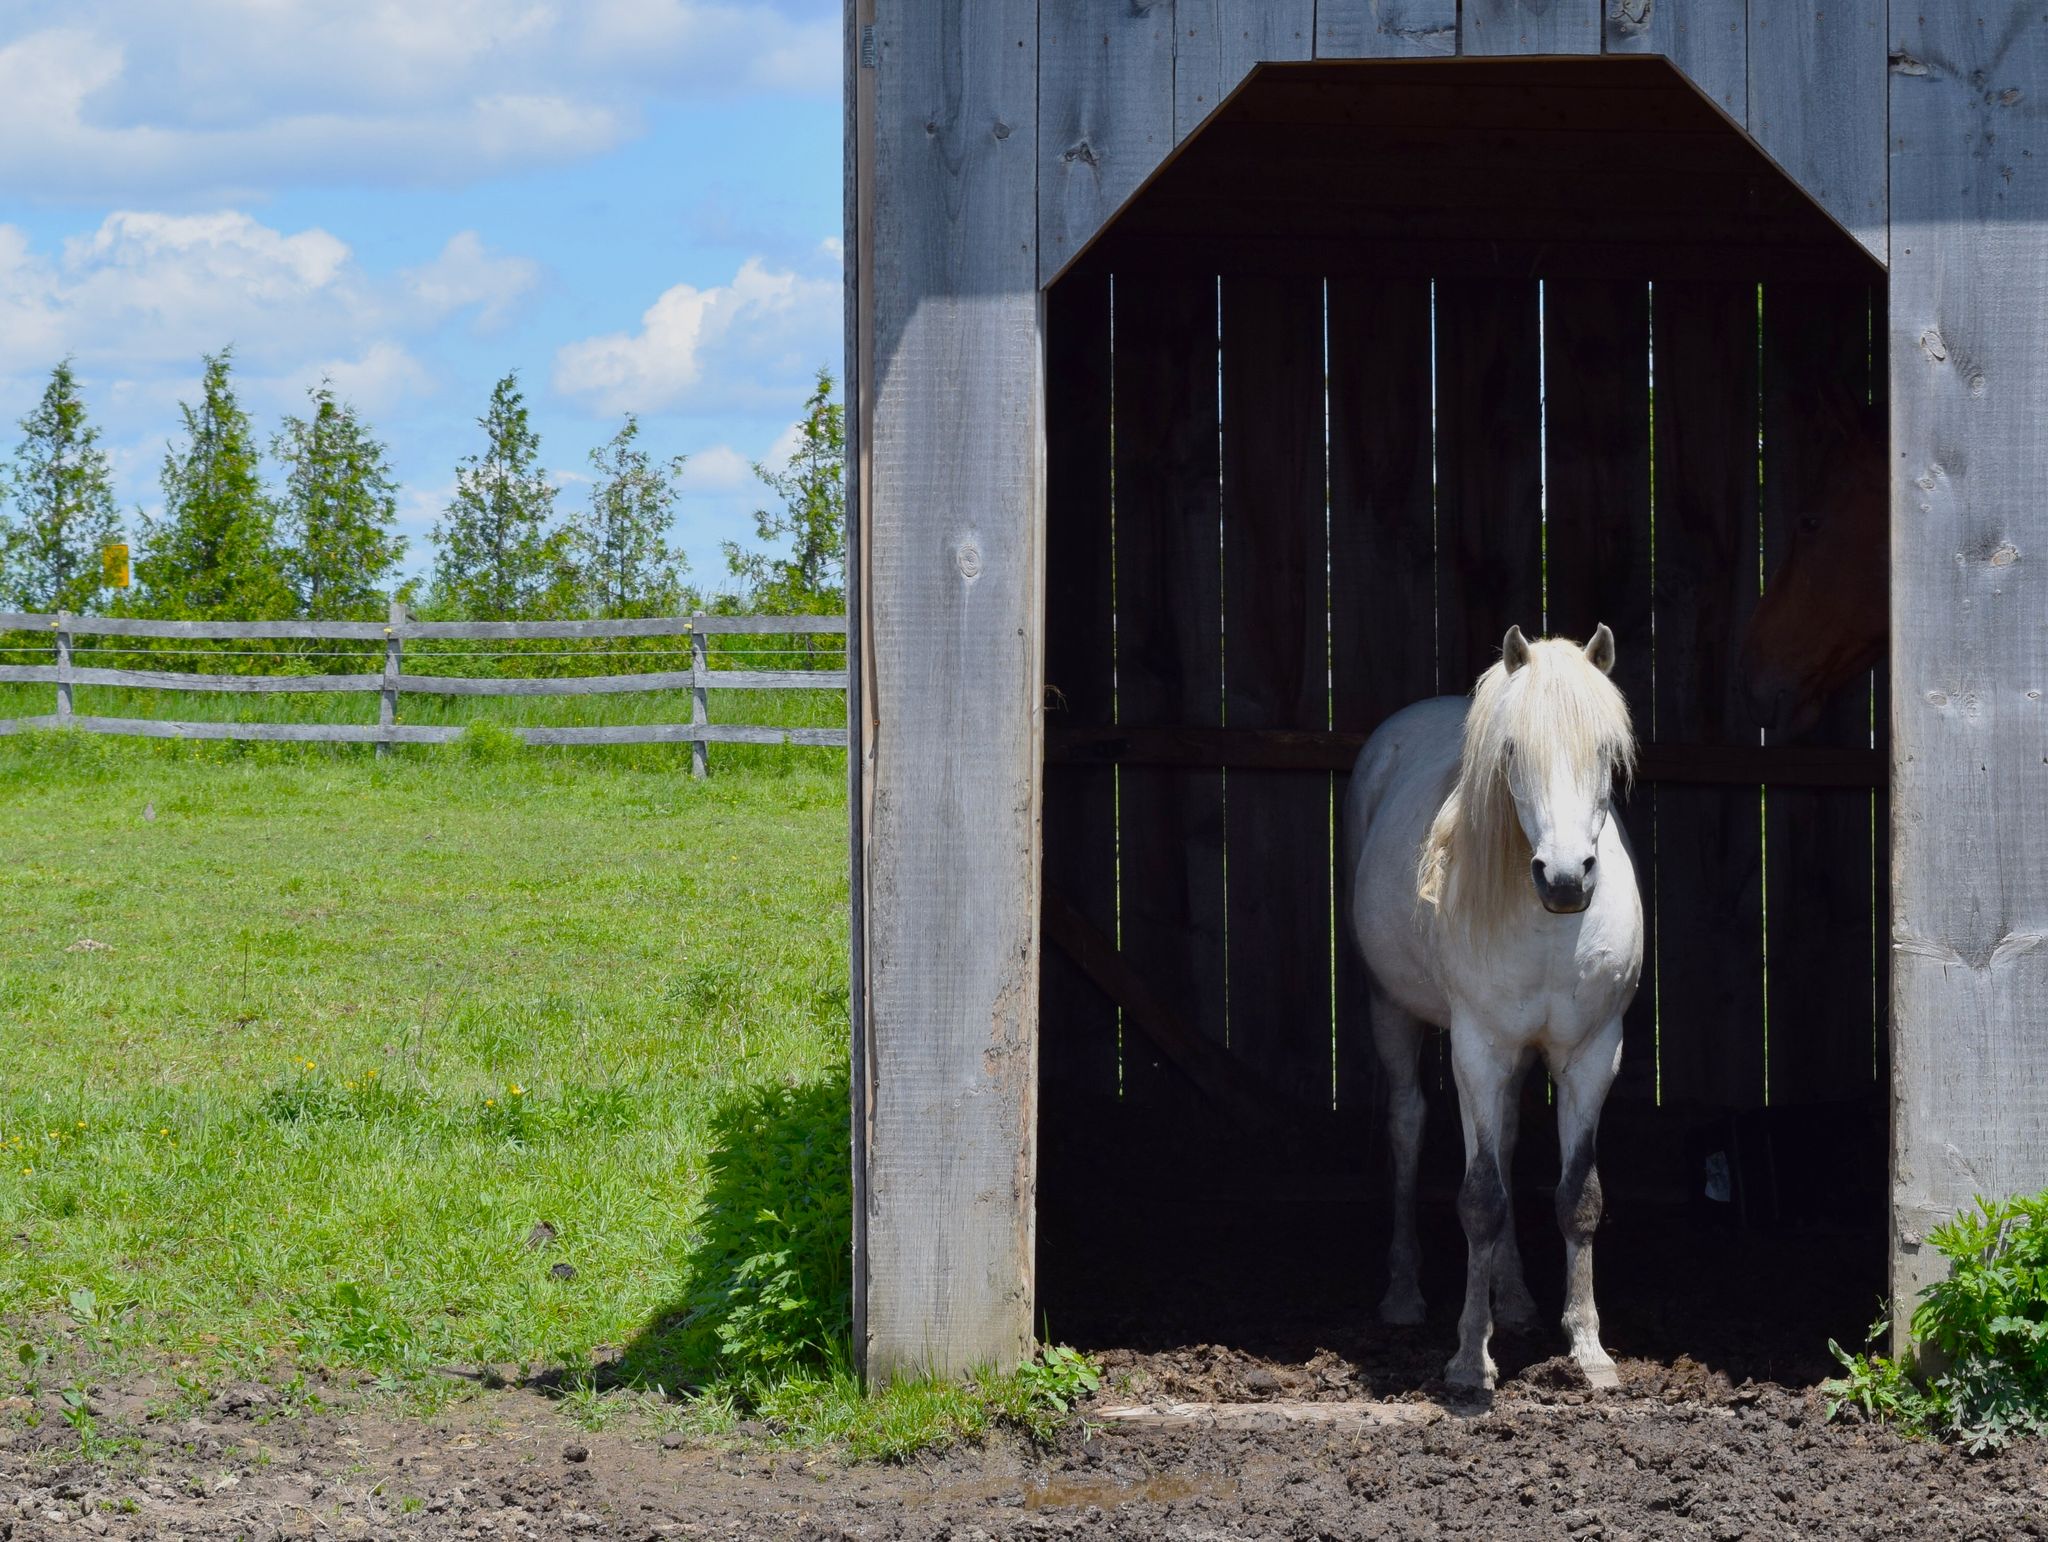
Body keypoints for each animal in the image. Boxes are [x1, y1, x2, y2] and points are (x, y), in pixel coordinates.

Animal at [1343, 618, 1646, 1392]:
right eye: (1512, 751)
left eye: (1606, 752)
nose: (1565, 878)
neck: (1552, 931)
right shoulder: (1476, 1051)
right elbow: (1479, 1200)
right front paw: (1468, 1358)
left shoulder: (1592, 1054)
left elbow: (1578, 1197)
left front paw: (1589, 1350)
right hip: (1391, 1011)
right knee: (1408, 1127)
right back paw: (1404, 1295)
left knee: (1505, 1140)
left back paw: (1513, 1299)